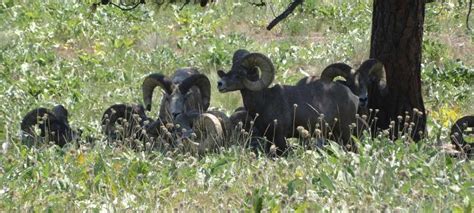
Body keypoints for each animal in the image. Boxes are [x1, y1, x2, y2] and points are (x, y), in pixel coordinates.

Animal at [218, 49, 360, 154]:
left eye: (240, 73)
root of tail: (352, 96)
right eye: (231, 69)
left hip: (346, 133)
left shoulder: (280, 139)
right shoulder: (269, 139)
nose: (220, 84)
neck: (264, 101)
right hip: (334, 135)